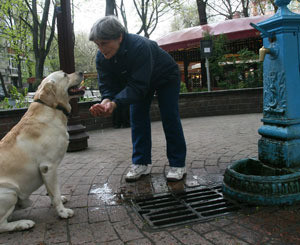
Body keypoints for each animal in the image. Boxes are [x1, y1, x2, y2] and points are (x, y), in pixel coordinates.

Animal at [0, 70, 84, 233]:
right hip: (9, 192)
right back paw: (23, 223)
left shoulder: (46, 169)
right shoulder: (48, 166)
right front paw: (62, 212)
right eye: (65, 75)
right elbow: (55, 192)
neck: (52, 108)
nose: (81, 72)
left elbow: (52, 190)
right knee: (2, 224)